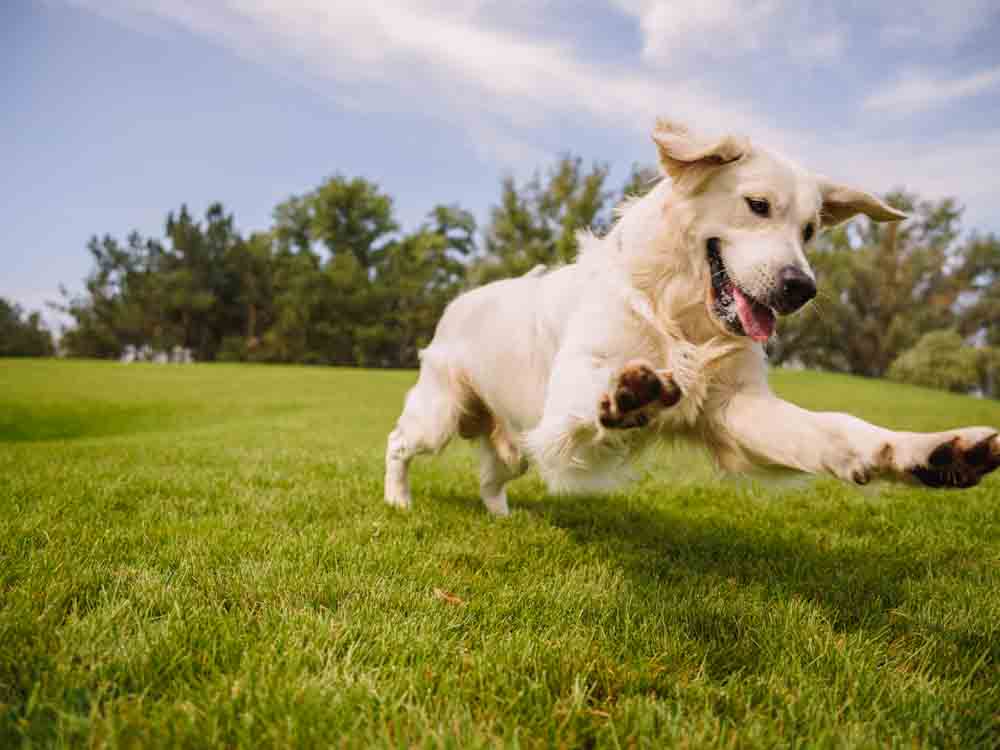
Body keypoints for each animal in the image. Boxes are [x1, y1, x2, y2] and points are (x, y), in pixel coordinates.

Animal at [382, 119, 1000, 516]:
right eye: (757, 206)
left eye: (810, 231)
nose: (802, 288)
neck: (680, 315)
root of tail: (459, 300)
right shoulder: (565, 403)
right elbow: (596, 393)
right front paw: (628, 396)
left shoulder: (737, 409)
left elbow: (838, 430)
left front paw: (929, 452)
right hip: (439, 414)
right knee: (397, 442)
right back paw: (398, 500)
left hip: (513, 445)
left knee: (491, 476)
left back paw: (502, 515)